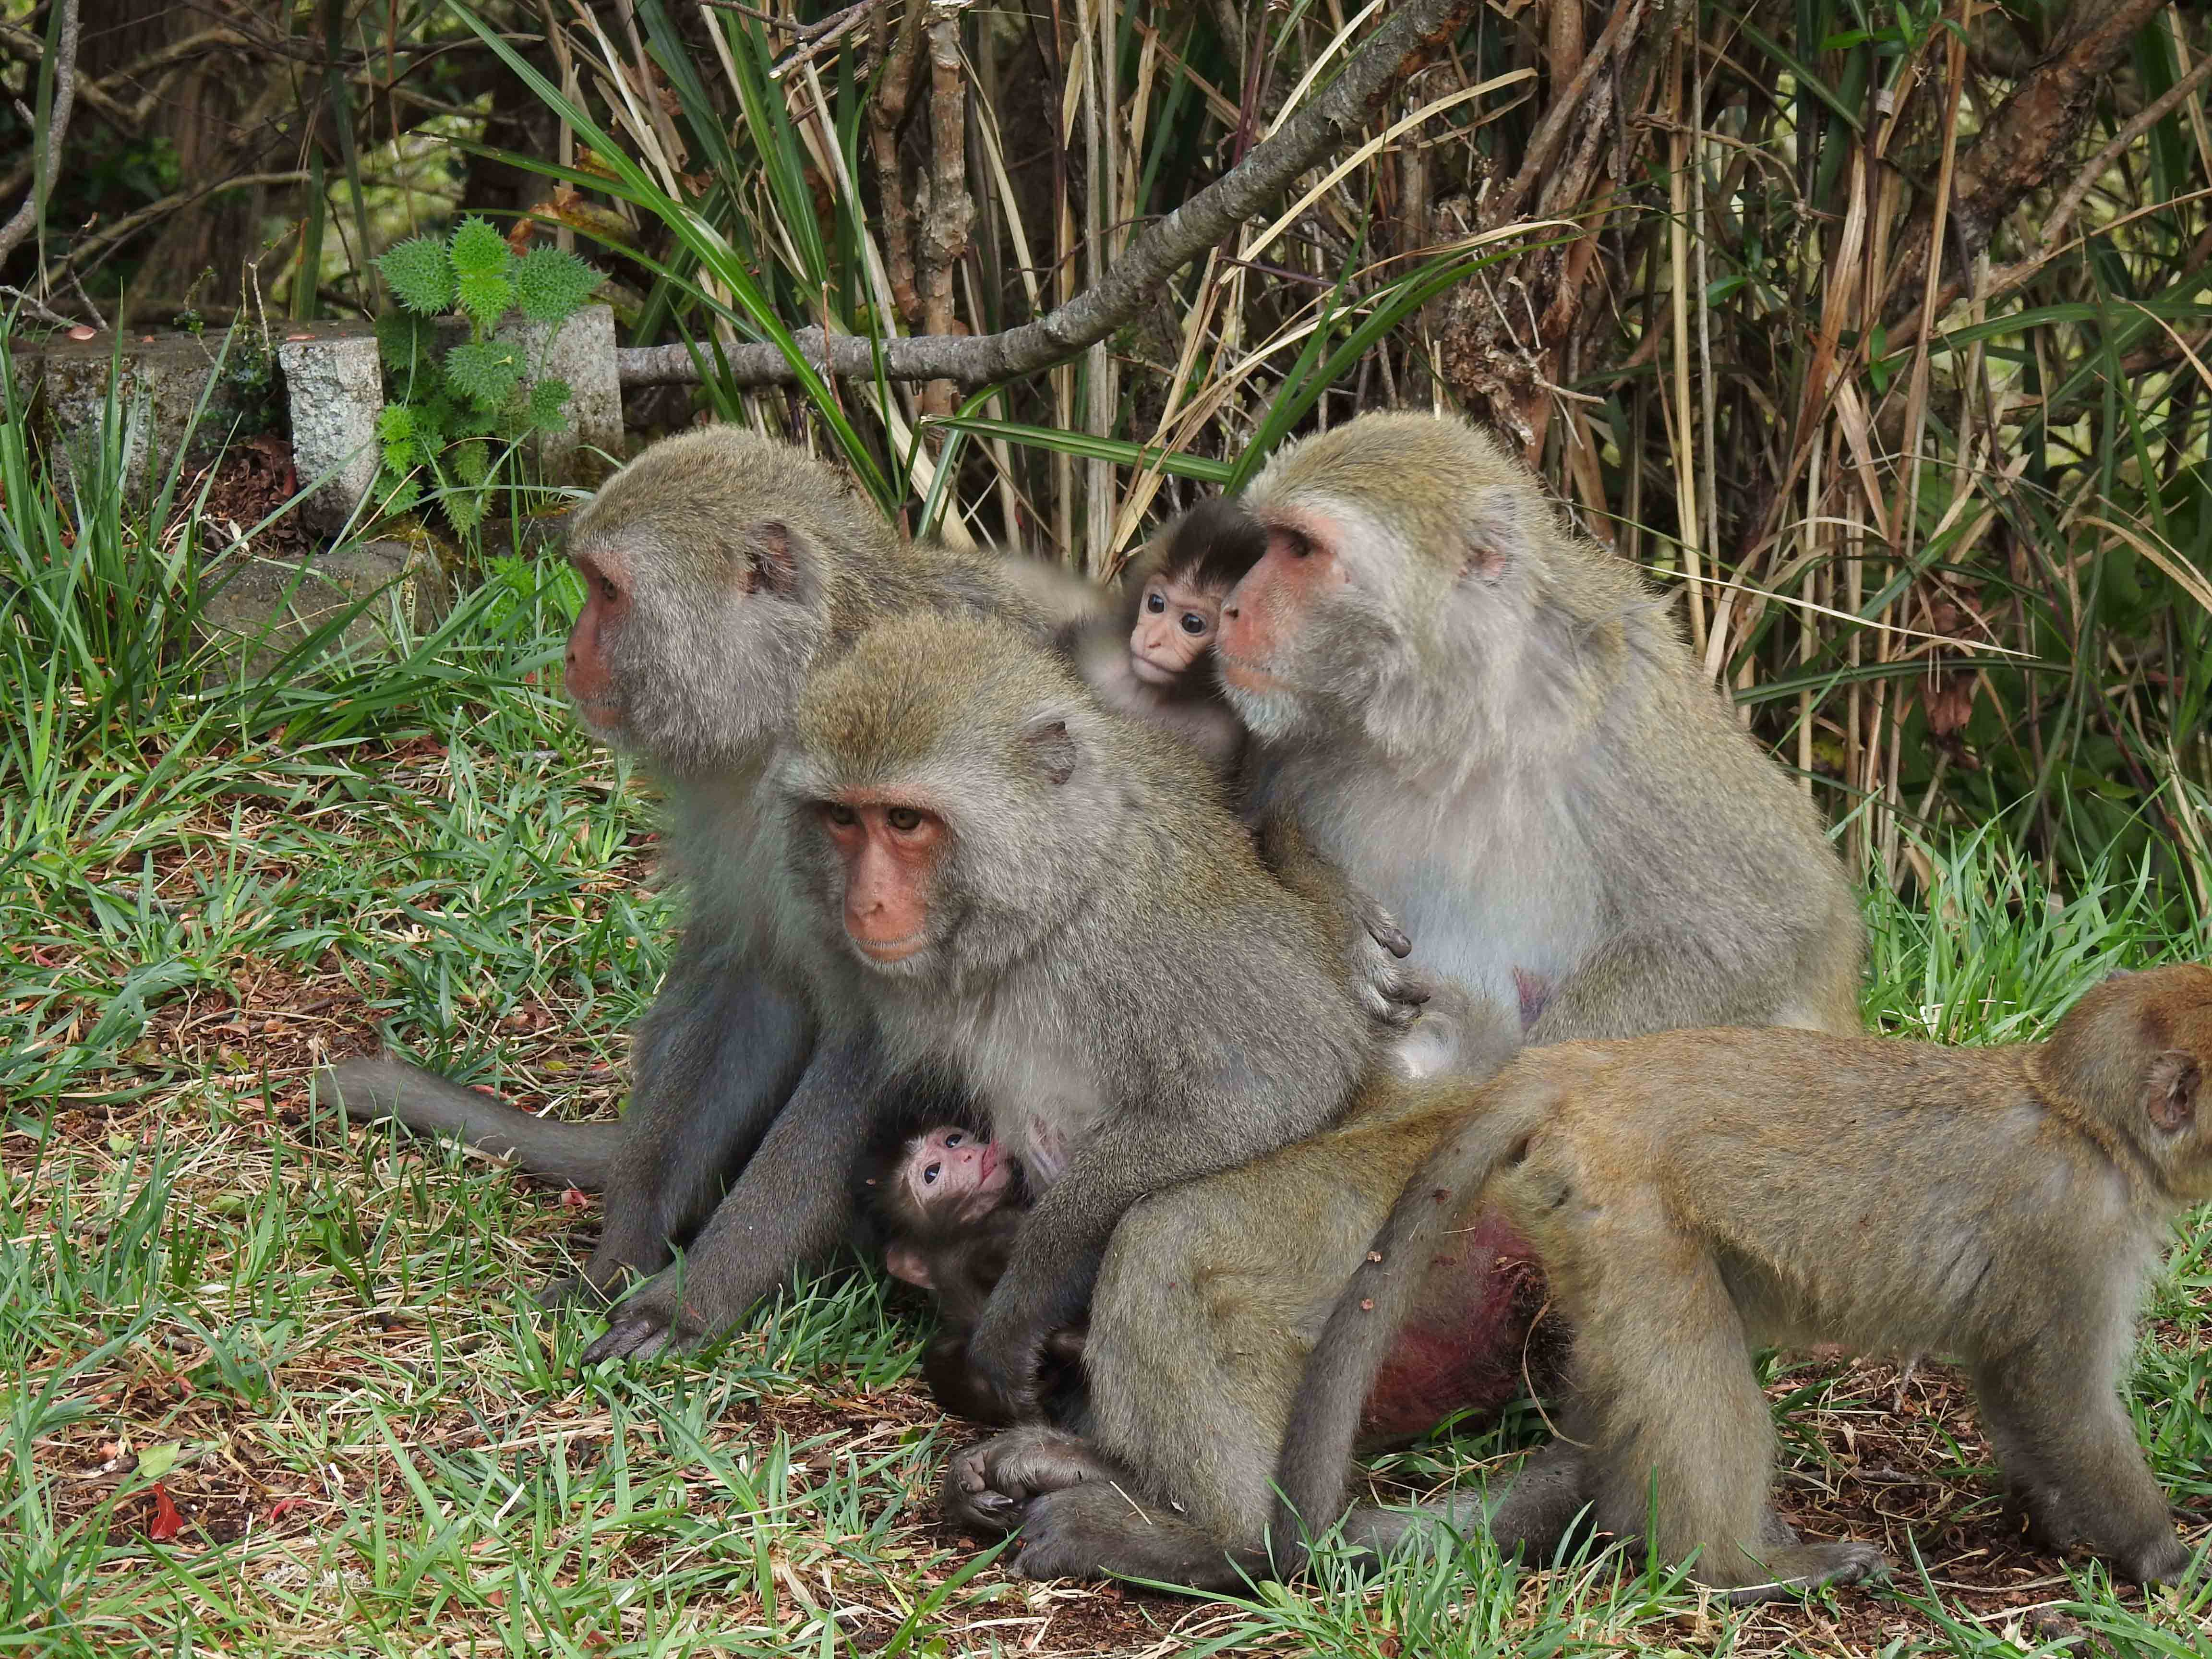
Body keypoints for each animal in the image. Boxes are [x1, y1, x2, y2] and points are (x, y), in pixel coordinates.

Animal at [1265, 969, 2212, 1601]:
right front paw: (2163, 1557)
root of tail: (1589, 1066)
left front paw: (2055, 1523)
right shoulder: (2075, 1237)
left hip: (1579, 1221)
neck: (2089, 1125)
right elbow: (2056, 1396)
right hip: (1625, 1209)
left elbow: (2014, 1390)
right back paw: (1738, 1570)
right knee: (1695, 1363)